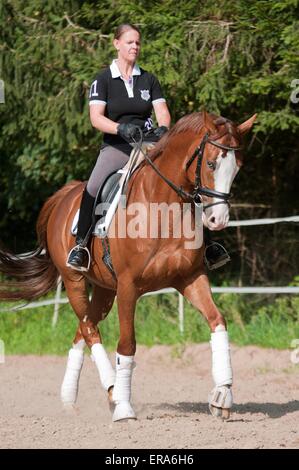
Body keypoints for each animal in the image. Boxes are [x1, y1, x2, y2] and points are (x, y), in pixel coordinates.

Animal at [0, 111, 258, 422]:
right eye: (210, 163)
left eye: (237, 168)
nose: (218, 220)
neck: (164, 211)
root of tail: (64, 194)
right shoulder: (128, 285)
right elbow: (127, 344)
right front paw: (124, 407)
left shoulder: (190, 278)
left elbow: (218, 321)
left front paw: (222, 396)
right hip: (75, 281)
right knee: (90, 329)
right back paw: (111, 390)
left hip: (104, 289)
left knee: (83, 329)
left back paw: (71, 398)